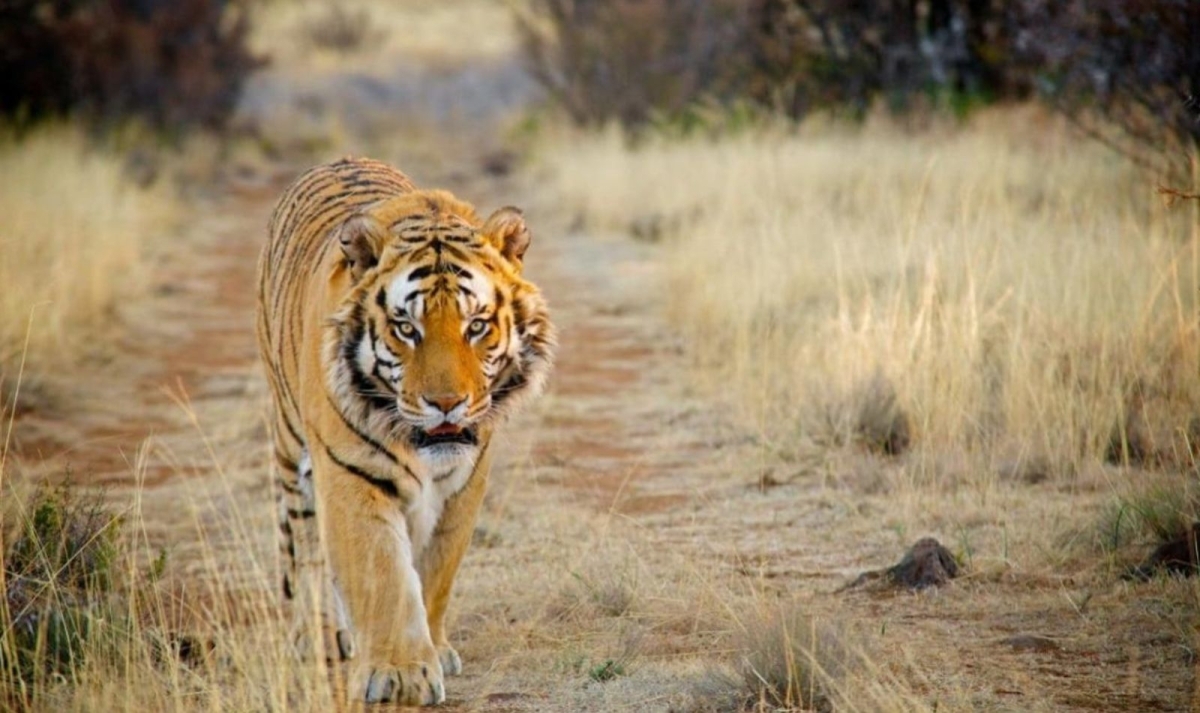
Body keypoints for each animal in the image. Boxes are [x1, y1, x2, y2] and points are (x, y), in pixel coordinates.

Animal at [256, 157, 555, 706]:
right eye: (406, 328)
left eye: (476, 326)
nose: (447, 405)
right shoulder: (350, 472)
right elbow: (383, 572)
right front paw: (399, 672)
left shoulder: (466, 483)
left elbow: (434, 572)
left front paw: (435, 650)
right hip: (290, 444)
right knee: (305, 545)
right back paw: (317, 633)